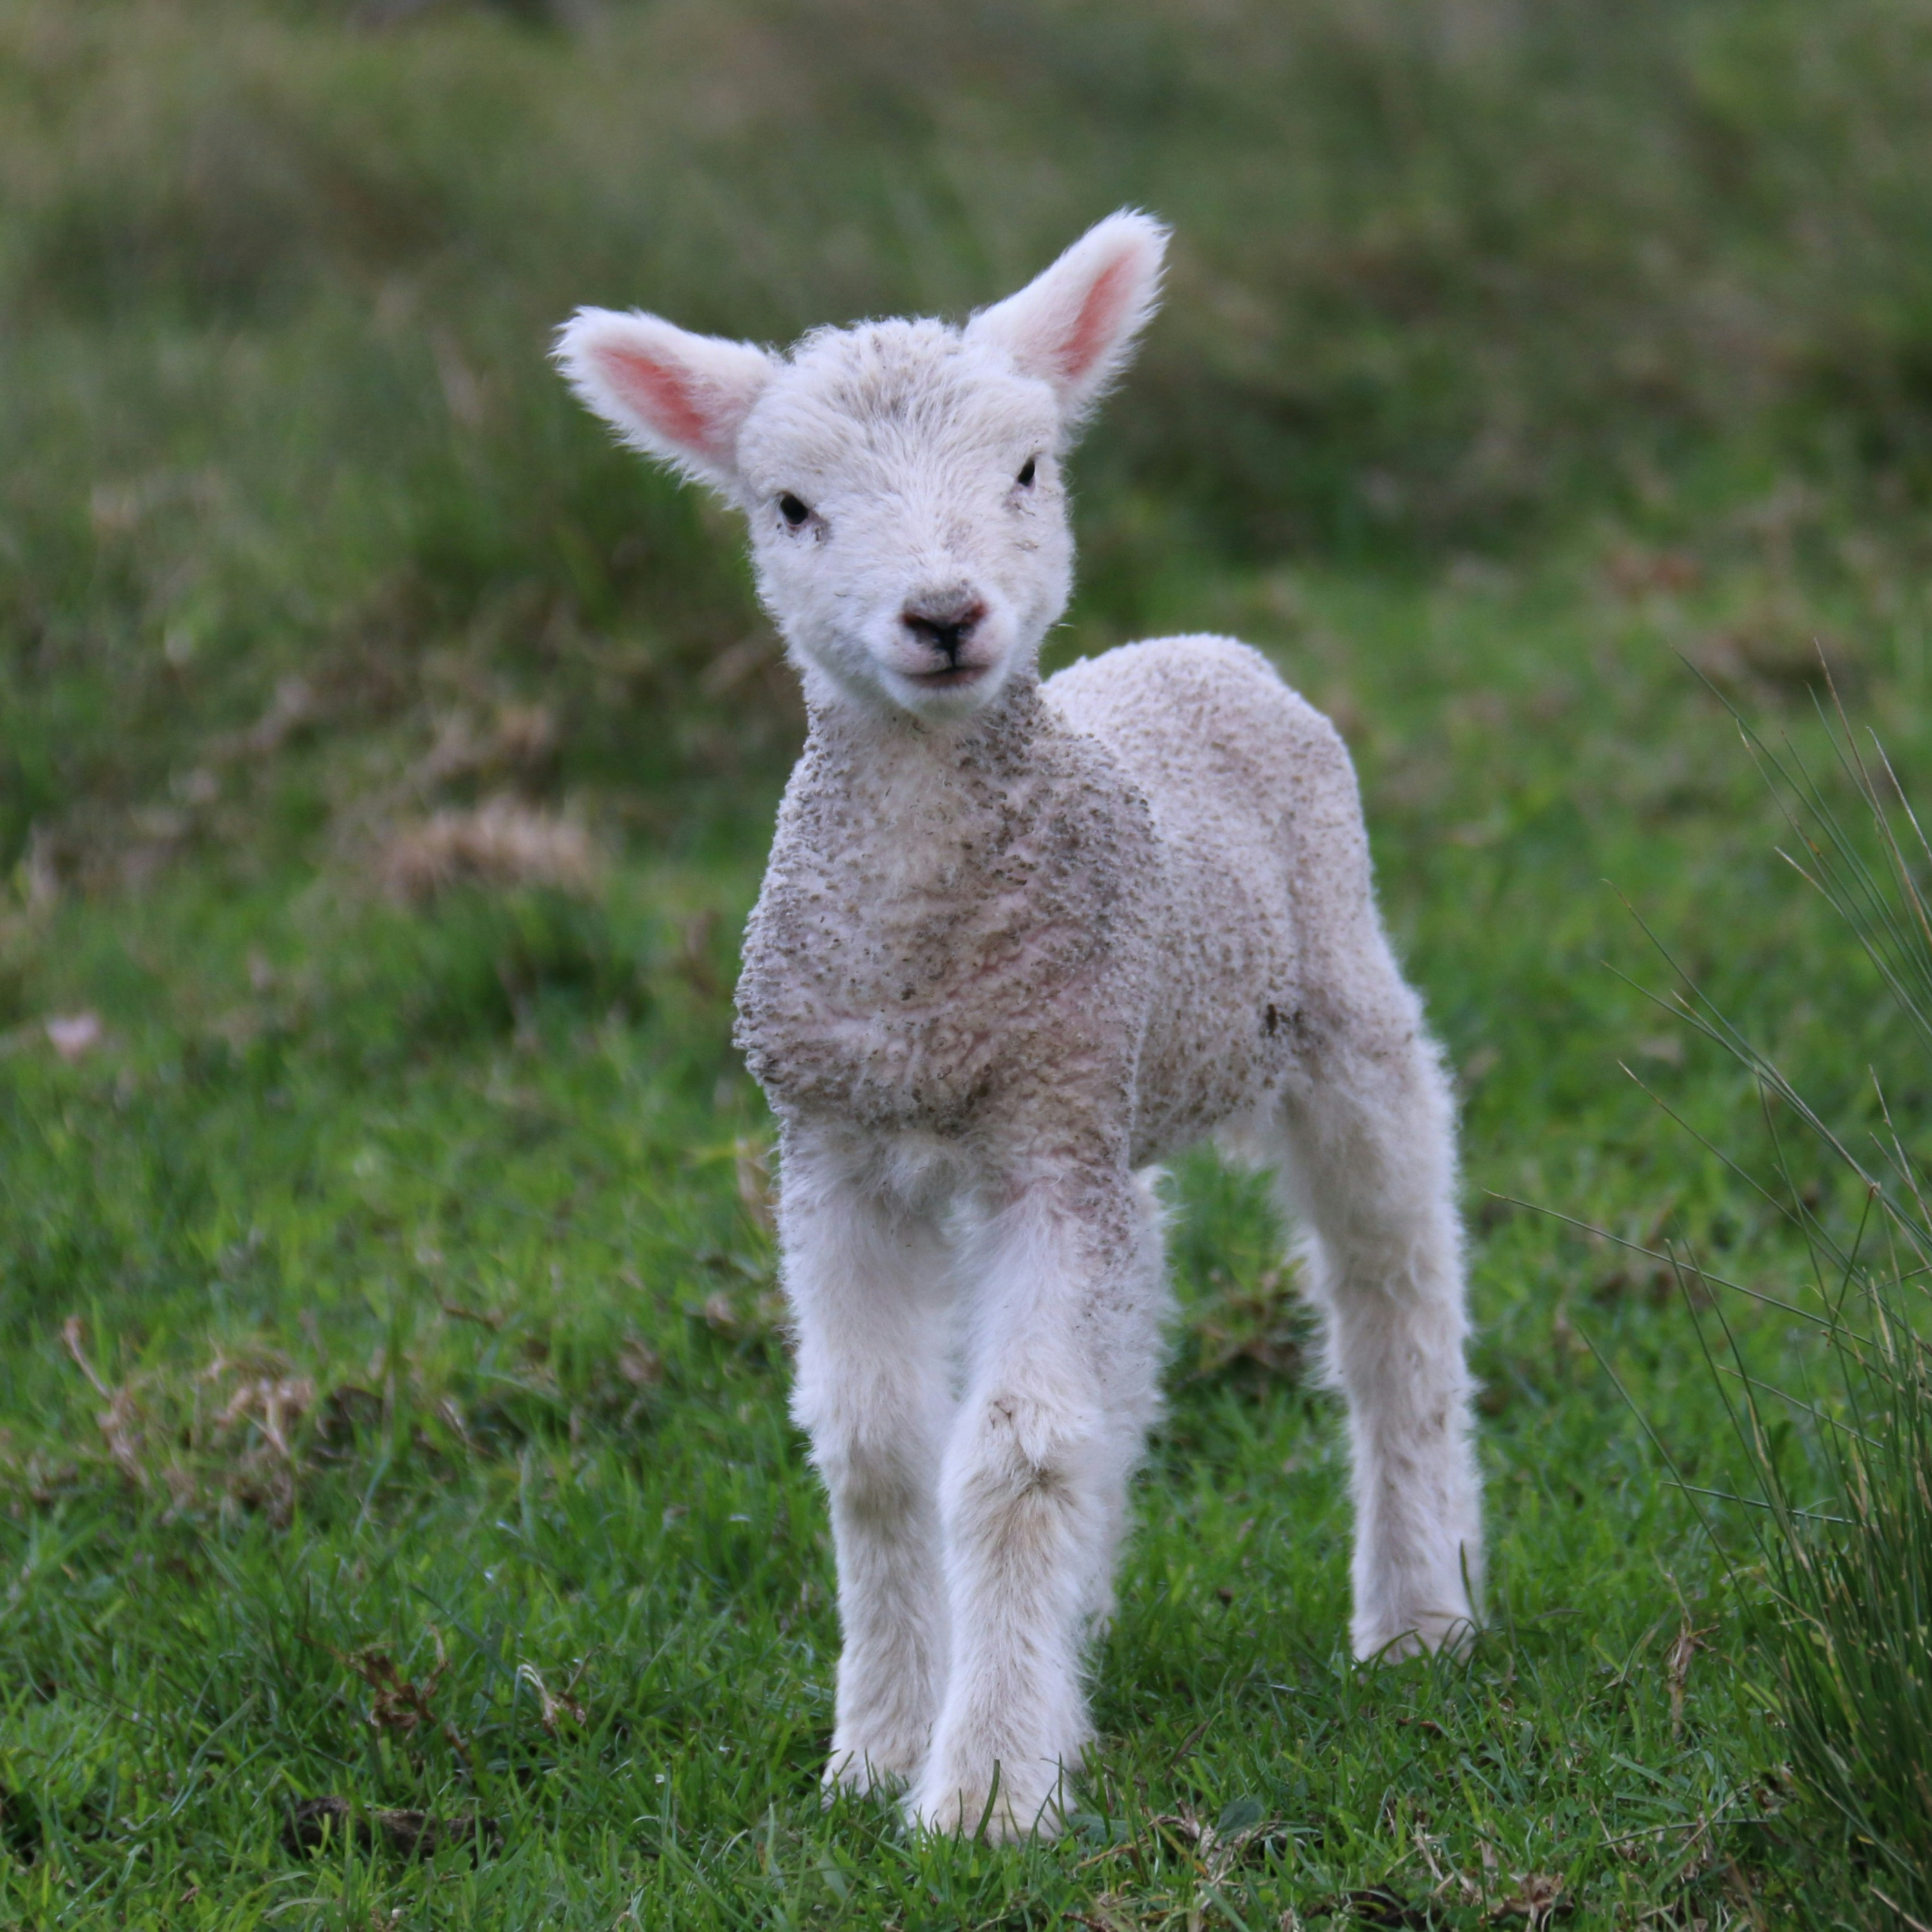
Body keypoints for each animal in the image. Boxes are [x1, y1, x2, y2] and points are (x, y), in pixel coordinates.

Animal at [555, 211, 1482, 1841]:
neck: (927, 965)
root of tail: (1203, 647)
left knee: (1393, 1294)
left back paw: (1417, 1612)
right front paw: (875, 1749)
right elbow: (878, 1454)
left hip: (1335, 1006)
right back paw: (1079, 1634)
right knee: (1137, 1326)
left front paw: (984, 1789)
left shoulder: (1046, 1135)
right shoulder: (839, 1148)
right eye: (790, 506)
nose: (943, 616)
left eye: (1031, 469)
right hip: (1120, 1099)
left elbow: (1013, 1455)